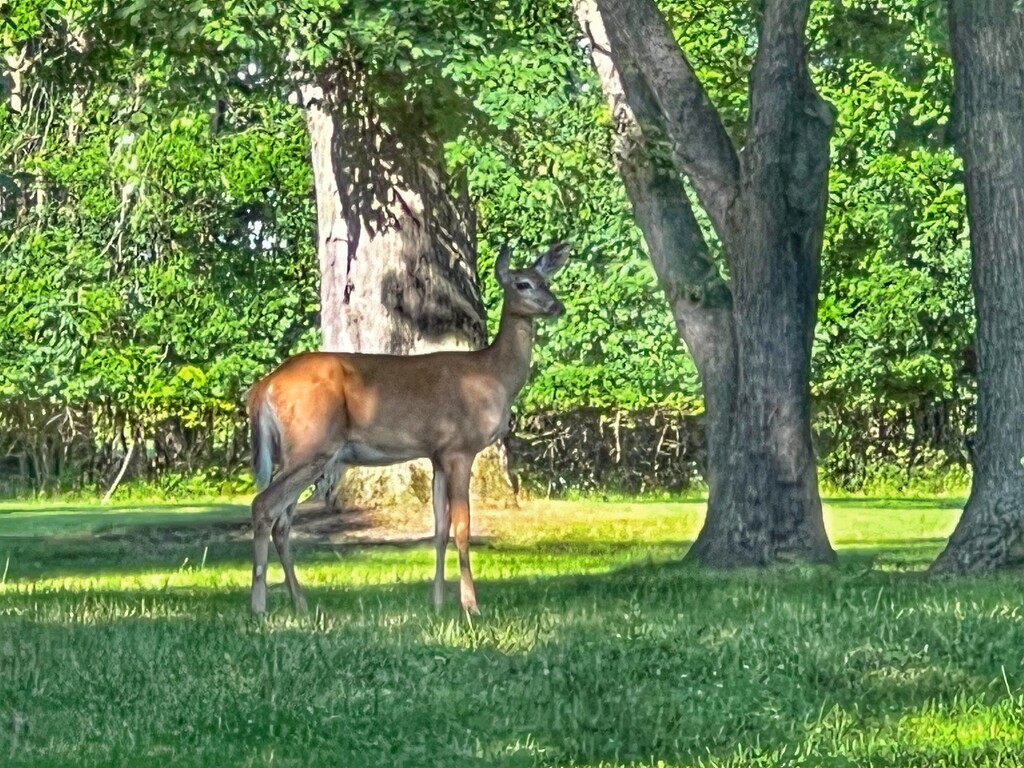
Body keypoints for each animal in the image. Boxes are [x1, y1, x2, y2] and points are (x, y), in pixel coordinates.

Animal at [244, 243, 573, 618]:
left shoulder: (437, 454)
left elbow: (440, 528)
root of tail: (263, 387)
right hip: (311, 446)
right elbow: (463, 526)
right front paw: (471, 606)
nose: (556, 306)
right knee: (264, 506)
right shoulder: (460, 448)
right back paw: (258, 605)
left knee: (282, 520)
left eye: (546, 280)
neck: (493, 375)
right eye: (522, 284)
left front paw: (438, 602)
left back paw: (300, 603)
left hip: (302, 455)